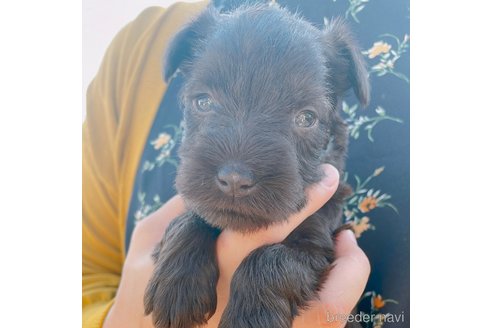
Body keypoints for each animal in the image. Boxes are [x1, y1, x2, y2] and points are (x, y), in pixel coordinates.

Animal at [144, 3, 368, 328]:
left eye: (306, 118)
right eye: (203, 102)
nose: (235, 179)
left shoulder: (319, 244)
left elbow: (272, 258)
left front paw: (250, 316)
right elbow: (191, 217)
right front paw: (177, 283)